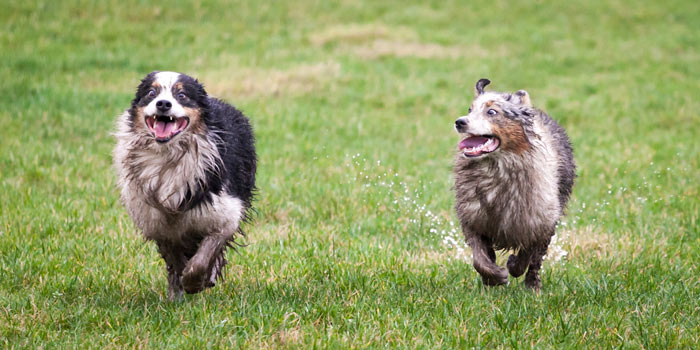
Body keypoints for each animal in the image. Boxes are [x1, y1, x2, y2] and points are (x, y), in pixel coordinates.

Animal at [113, 72, 256, 300]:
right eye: (151, 93)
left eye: (182, 95)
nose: (163, 104)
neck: (169, 155)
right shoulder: (160, 225)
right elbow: (176, 263)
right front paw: (179, 292)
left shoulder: (225, 213)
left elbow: (206, 253)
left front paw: (195, 281)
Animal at [454, 78, 576, 290]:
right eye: (470, 109)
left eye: (492, 112)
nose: (460, 122)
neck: (497, 170)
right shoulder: (474, 217)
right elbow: (480, 258)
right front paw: (495, 277)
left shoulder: (538, 220)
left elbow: (529, 253)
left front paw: (513, 266)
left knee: (535, 261)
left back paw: (533, 286)